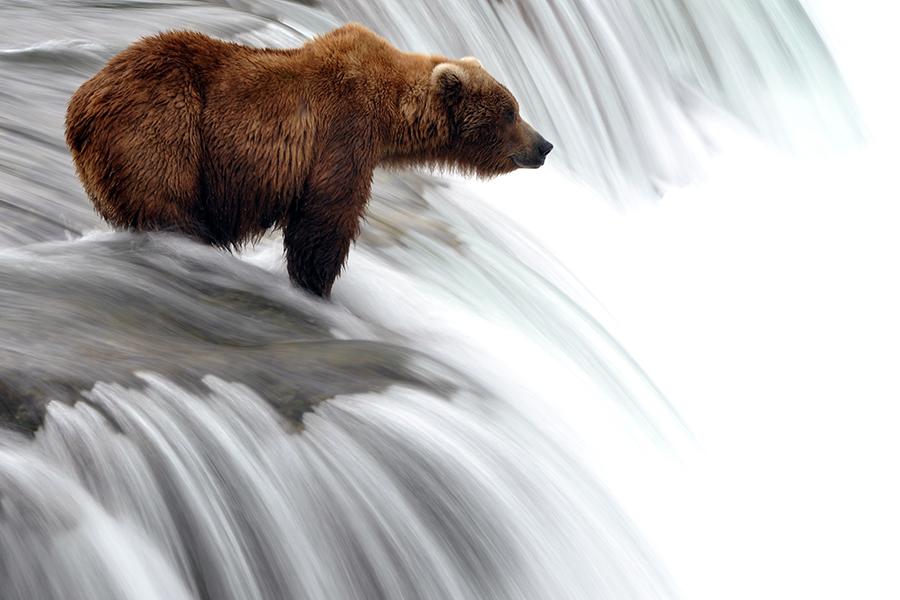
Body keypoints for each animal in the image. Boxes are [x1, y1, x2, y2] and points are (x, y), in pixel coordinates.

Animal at [65, 23, 553, 297]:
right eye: (510, 111)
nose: (545, 145)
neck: (390, 113)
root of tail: (78, 105)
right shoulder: (342, 133)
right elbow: (324, 219)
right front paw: (315, 286)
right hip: (163, 127)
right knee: (170, 205)